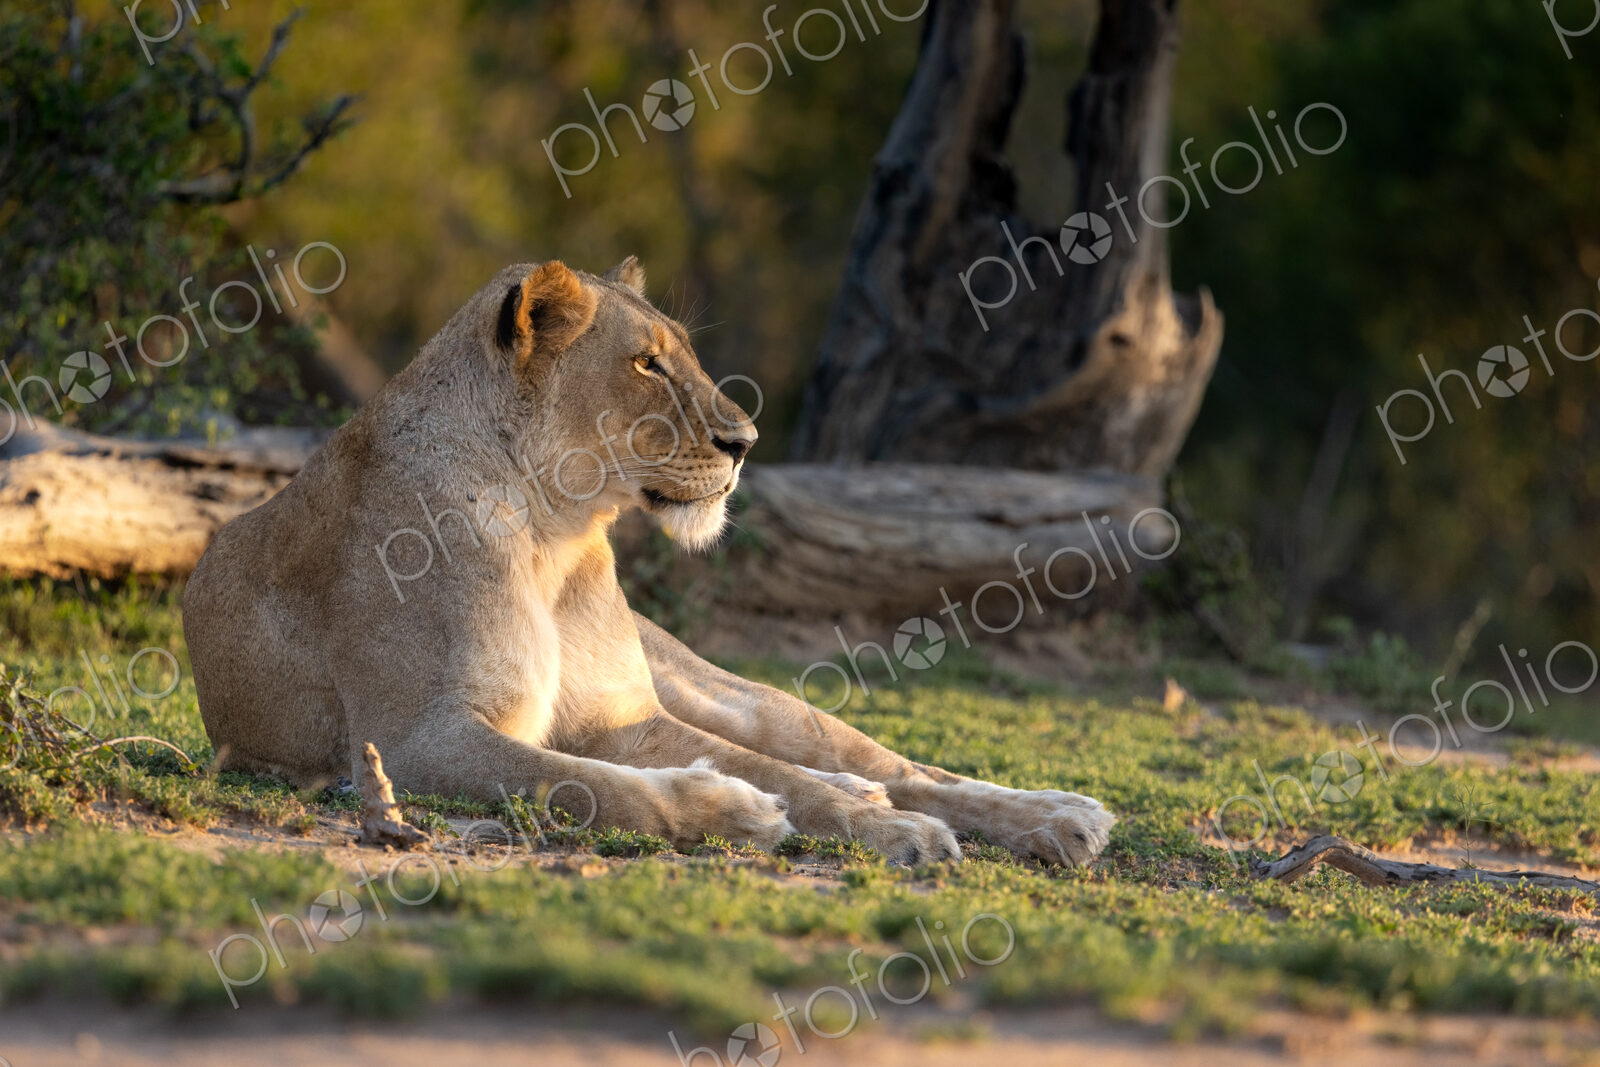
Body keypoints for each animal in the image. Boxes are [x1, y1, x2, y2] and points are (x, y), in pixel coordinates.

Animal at [182, 258, 1114, 865]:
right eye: (647, 363)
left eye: (685, 355)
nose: (745, 442)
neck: (554, 532)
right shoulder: (411, 741)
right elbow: (589, 785)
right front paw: (743, 810)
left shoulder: (623, 716)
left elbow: (782, 775)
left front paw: (873, 820)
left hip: (737, 694)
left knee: (896, 764)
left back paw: (1061, 815)